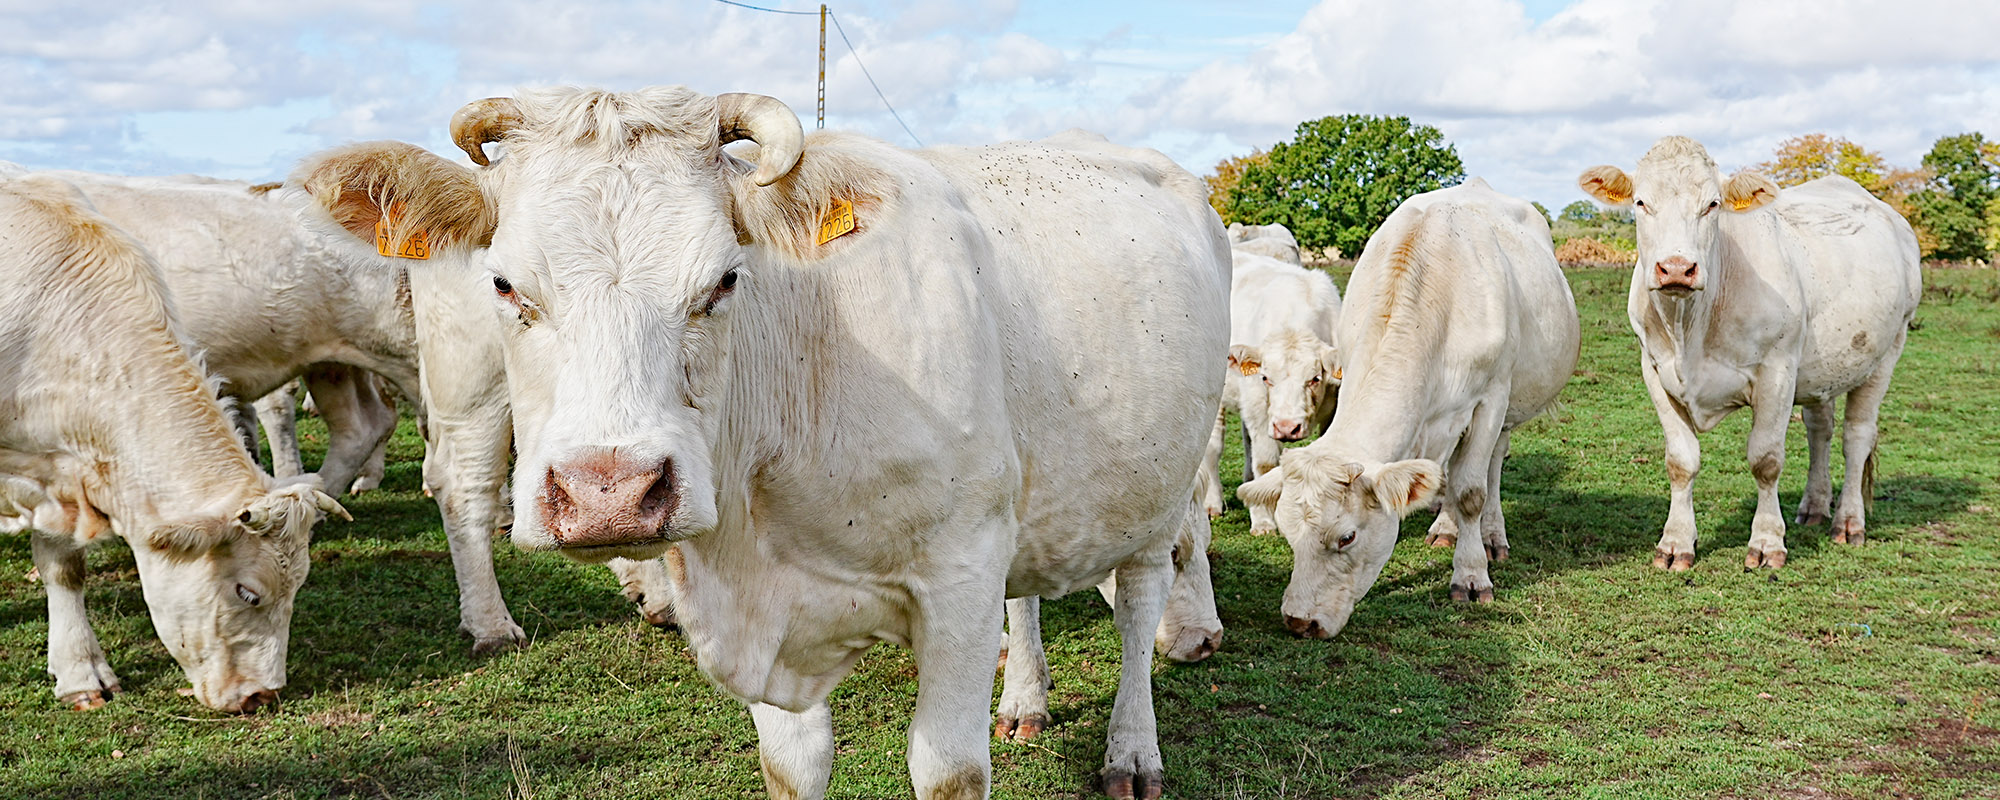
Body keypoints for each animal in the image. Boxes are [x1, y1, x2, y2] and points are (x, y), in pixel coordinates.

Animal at [293, 85, 1230, 800]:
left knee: (1142, 599)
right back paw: (1027, 699)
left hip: (1162, 485)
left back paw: (1132, 750)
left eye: (723, 281)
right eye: (504, 283)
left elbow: (949, 770)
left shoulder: (960, 572)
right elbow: (792, 766)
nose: (608, 493)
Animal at [1198, 251, 1342, 531]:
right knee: (1213, 447)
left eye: (1315, 378)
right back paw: (1212, 505)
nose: (1287, 427)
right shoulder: (1258, 405)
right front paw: (1264, 521)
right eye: (1265, 377)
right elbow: (1265, 462)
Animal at [1239, 179, 1578, 639]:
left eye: (1346, 537)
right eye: (1289, 535)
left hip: (1509, 403)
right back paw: (1446, 528)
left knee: (1491, 465)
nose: (1299, 621)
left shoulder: (1491, 398)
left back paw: (1490, 534)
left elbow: (1471, 492)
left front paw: (1472, 576)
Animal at [1577, 137, 1921, 570]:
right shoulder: (1654, 371)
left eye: (1712, 204)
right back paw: (1814, 506)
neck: (1690, 328)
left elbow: (1766, 460)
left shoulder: (1777, 371)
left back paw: (1848, 522)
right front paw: (1675, 543)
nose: (1676, 268)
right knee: (1820, 430)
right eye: (1640, 202)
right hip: (1820, 368)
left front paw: (1767, 542)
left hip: (1887, 352)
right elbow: (1680, 461)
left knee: (1856, 437)